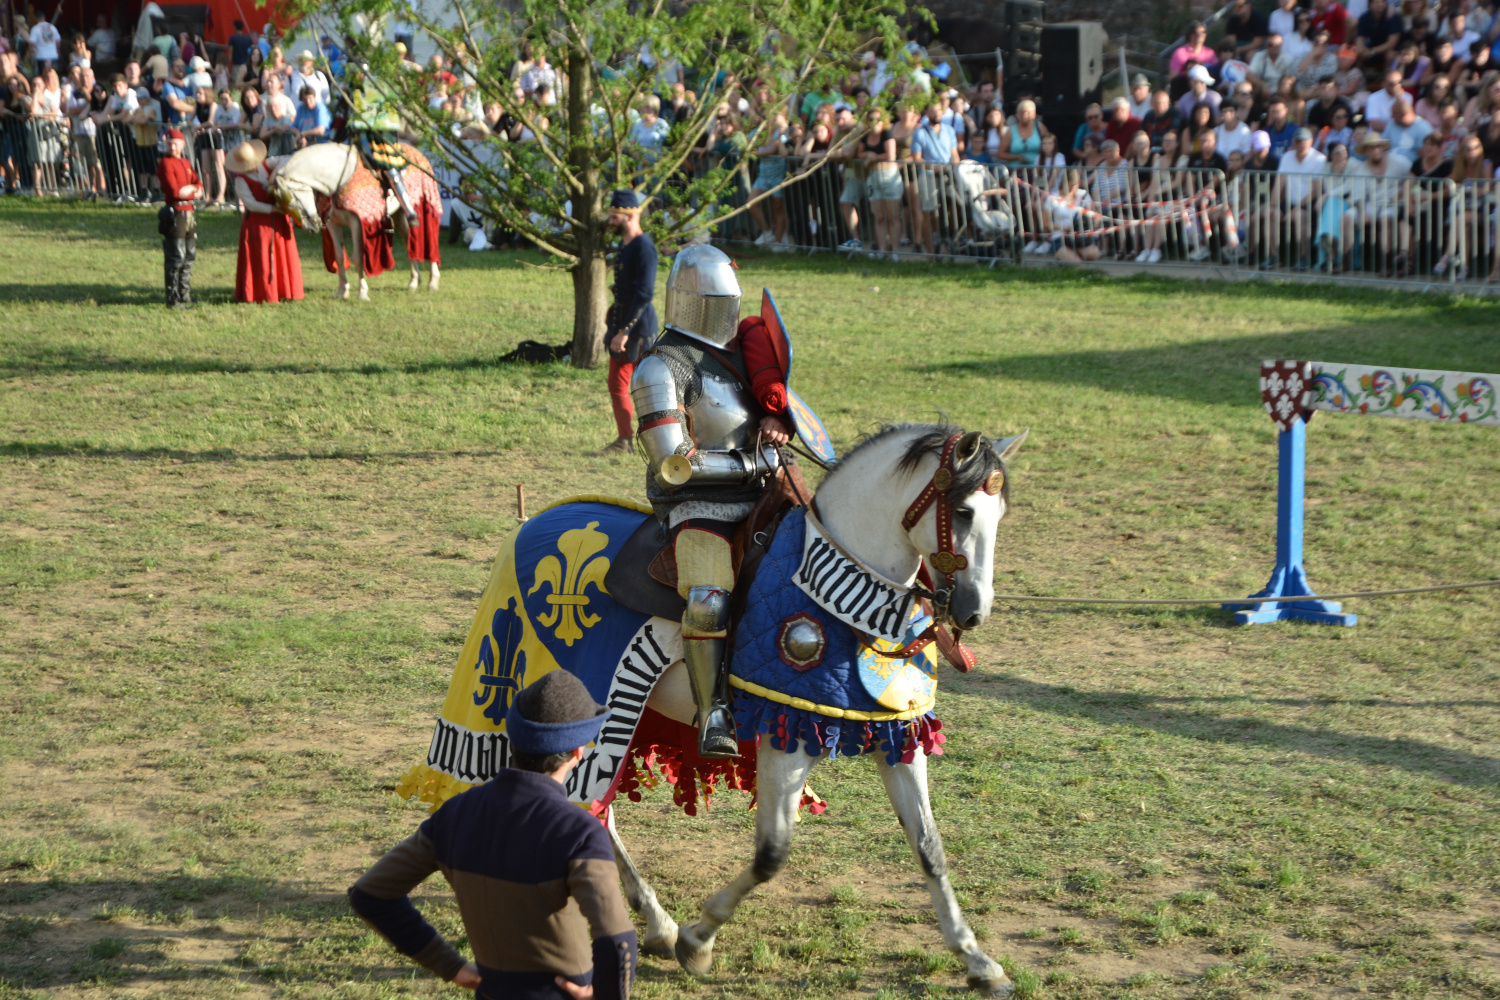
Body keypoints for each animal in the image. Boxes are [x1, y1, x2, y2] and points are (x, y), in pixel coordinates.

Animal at [270, 141, 438, 301]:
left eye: (293, 202)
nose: (311, 227)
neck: (337, 177)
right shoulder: (333, 224)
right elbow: (339, 257)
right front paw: (341, 291)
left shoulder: (356, 222)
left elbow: (358, 257)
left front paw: (362, 293)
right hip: (398, 213)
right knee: (408, 238)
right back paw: (414, 281)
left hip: (424, 204)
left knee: (428, 237)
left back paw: (433, 281)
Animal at [603, 425, 1026, 995]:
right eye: (961, 512)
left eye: (998, 515)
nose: (973, 611)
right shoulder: (787, 737)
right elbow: (771, 853)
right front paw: (699, 939)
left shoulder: (897, 739)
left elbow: (929, 847)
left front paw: (977, 961)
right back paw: (659, 923)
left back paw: (654, 921)